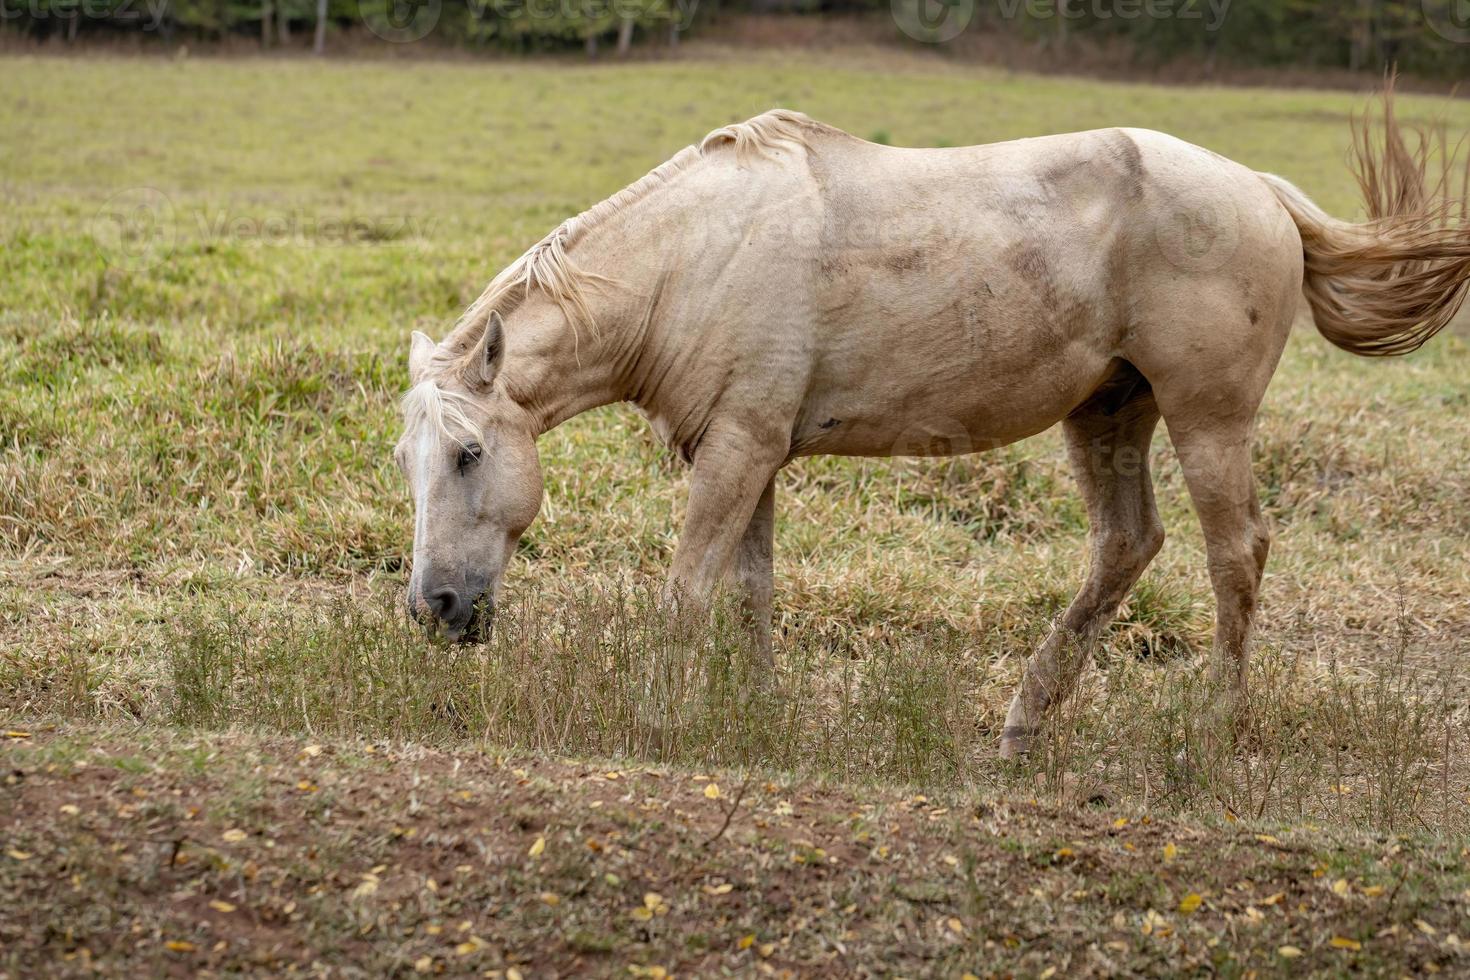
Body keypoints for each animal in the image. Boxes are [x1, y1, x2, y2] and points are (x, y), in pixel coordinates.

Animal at [393, 91, 1470, 758]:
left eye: (469, 452)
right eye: (409, 460)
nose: (434, 605)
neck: (697, 255)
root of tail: (1264, 192)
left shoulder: (737, 452)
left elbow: (688, 592)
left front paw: (660, 721)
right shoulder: (750, 450)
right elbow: (749, 594)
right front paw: (758, 716)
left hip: (1210, 422)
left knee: (1234, 554)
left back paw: (1211, 729)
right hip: (1109, 412)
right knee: (1126, 546)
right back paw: (1024, 724)